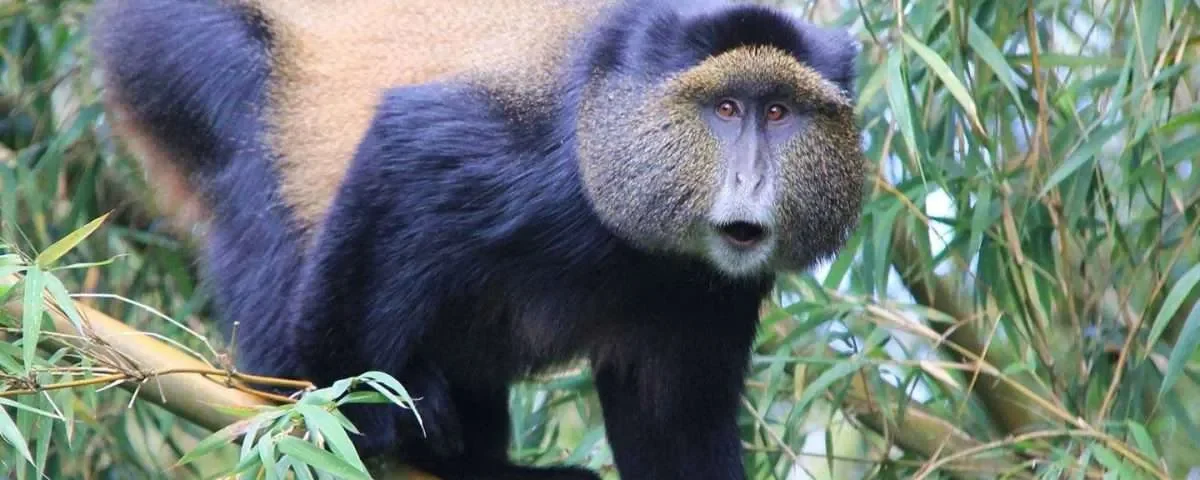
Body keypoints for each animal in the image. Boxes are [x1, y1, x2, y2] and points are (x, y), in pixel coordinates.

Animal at [88, 0, 866, 478]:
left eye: (781, 111)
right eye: (727, 108)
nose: (751, 179)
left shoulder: (713, 295)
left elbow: (672, 427)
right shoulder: (529, 166)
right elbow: (406, 147)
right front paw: (348, 406)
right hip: (176, 46)